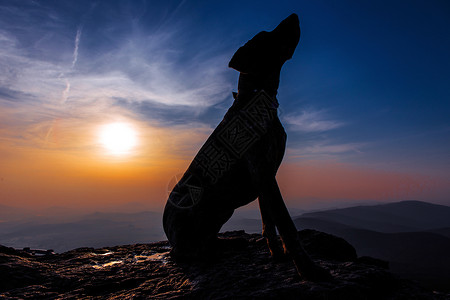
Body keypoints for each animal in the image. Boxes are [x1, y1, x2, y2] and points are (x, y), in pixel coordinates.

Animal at [163, 13, 328, 282]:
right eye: (266, 36)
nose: (293, 15)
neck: (256, 96)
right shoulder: (264, 172)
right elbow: (286, 223)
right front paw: (308, 269)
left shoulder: (266, 176)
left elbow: (268, 220)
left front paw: (277, 254)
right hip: (195, 202)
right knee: (184, 251)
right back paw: (209, 253)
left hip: (223, 210)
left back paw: (228, 243)